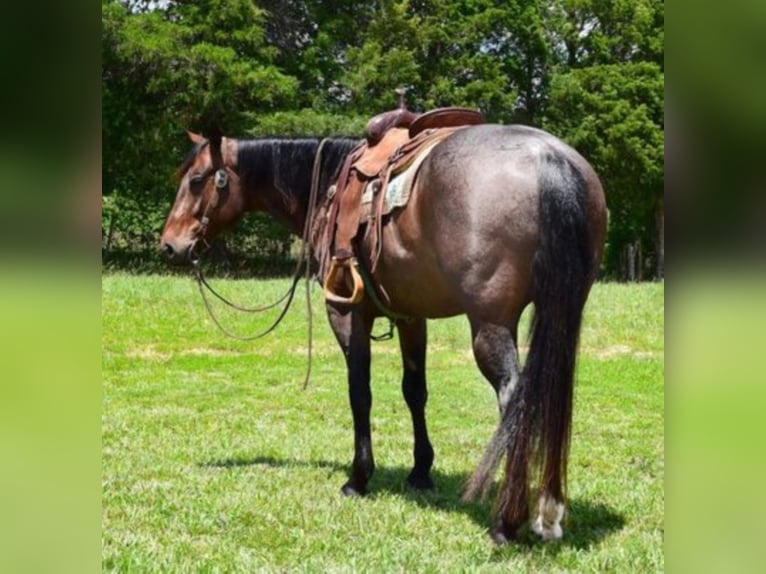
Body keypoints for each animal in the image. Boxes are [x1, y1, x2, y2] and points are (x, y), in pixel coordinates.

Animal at [164, 125, 612, 544]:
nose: (170, 245)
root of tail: (550, 160)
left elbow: (359, 392)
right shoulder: (412, 316)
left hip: (490, 324)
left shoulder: (346, 312)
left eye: (198, 179)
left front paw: (358, 478)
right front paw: (420, 471)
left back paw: (506, 520)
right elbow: (415, 392)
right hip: (562, 313)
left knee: (515, 398)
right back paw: (549, 511)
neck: (326, 187)